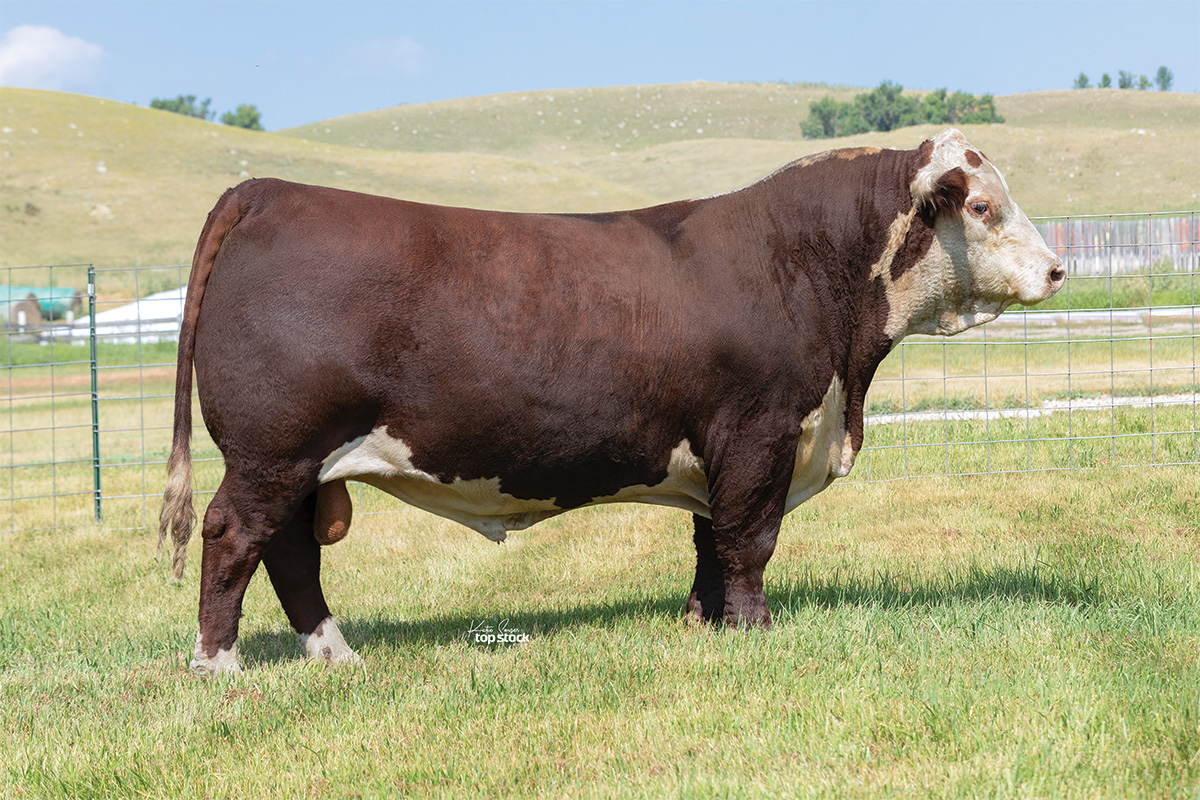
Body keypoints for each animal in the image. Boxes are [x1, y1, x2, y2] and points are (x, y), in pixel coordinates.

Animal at [157, 126, 1060, 676]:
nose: (1057, 271)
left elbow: (709, 543)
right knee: (234, 536)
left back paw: (334, 653)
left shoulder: (718, 449)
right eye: (982, 205)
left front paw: (701, 625)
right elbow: (750, 542)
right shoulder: (761, 434)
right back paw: (218, 663)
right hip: (274, 451)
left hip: (296, 464)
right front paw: (755, 633)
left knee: (289, 552)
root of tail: (272, 190)